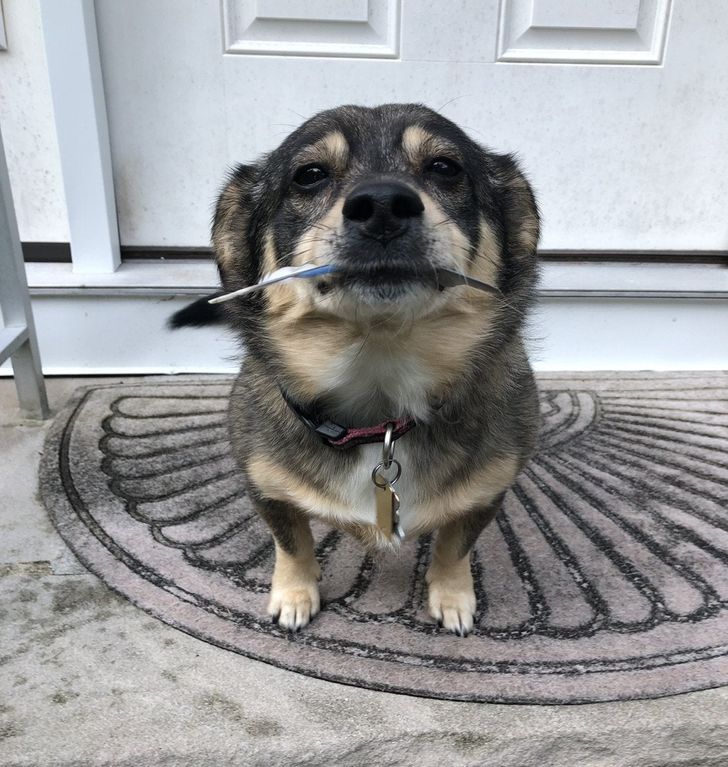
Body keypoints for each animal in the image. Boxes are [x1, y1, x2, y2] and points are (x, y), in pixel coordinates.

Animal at [171, 105, 540, 640]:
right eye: (309, 175)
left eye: (445, 167)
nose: (383, 204)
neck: (379, 401)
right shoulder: (265, 487)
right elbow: (292, 543)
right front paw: (294, 595)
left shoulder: (488, 491)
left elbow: (454, 547)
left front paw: (453, 597)